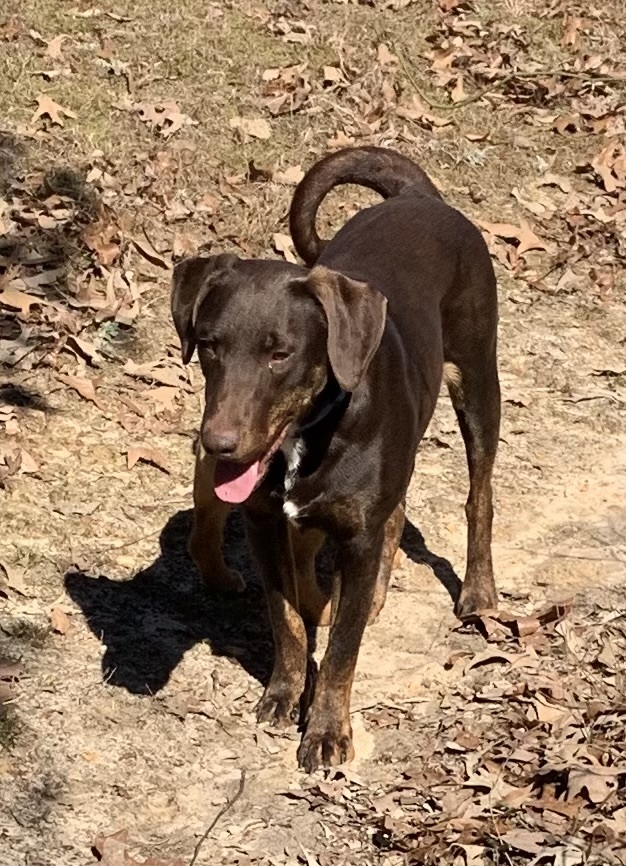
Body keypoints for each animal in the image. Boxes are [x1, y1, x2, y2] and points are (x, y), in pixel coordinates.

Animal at [169, 147, 498, 768]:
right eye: (210, 344)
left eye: (279, 355)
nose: (217, 445)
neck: (308, 436)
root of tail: (419, 197)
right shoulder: (265, 524)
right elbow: (288, 619)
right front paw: (283, 694)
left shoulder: (357, 539)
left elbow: (343, 647)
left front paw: (326, 731)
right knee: (395, 511)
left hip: (478, 379)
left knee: (480, 494)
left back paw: (478, 592)